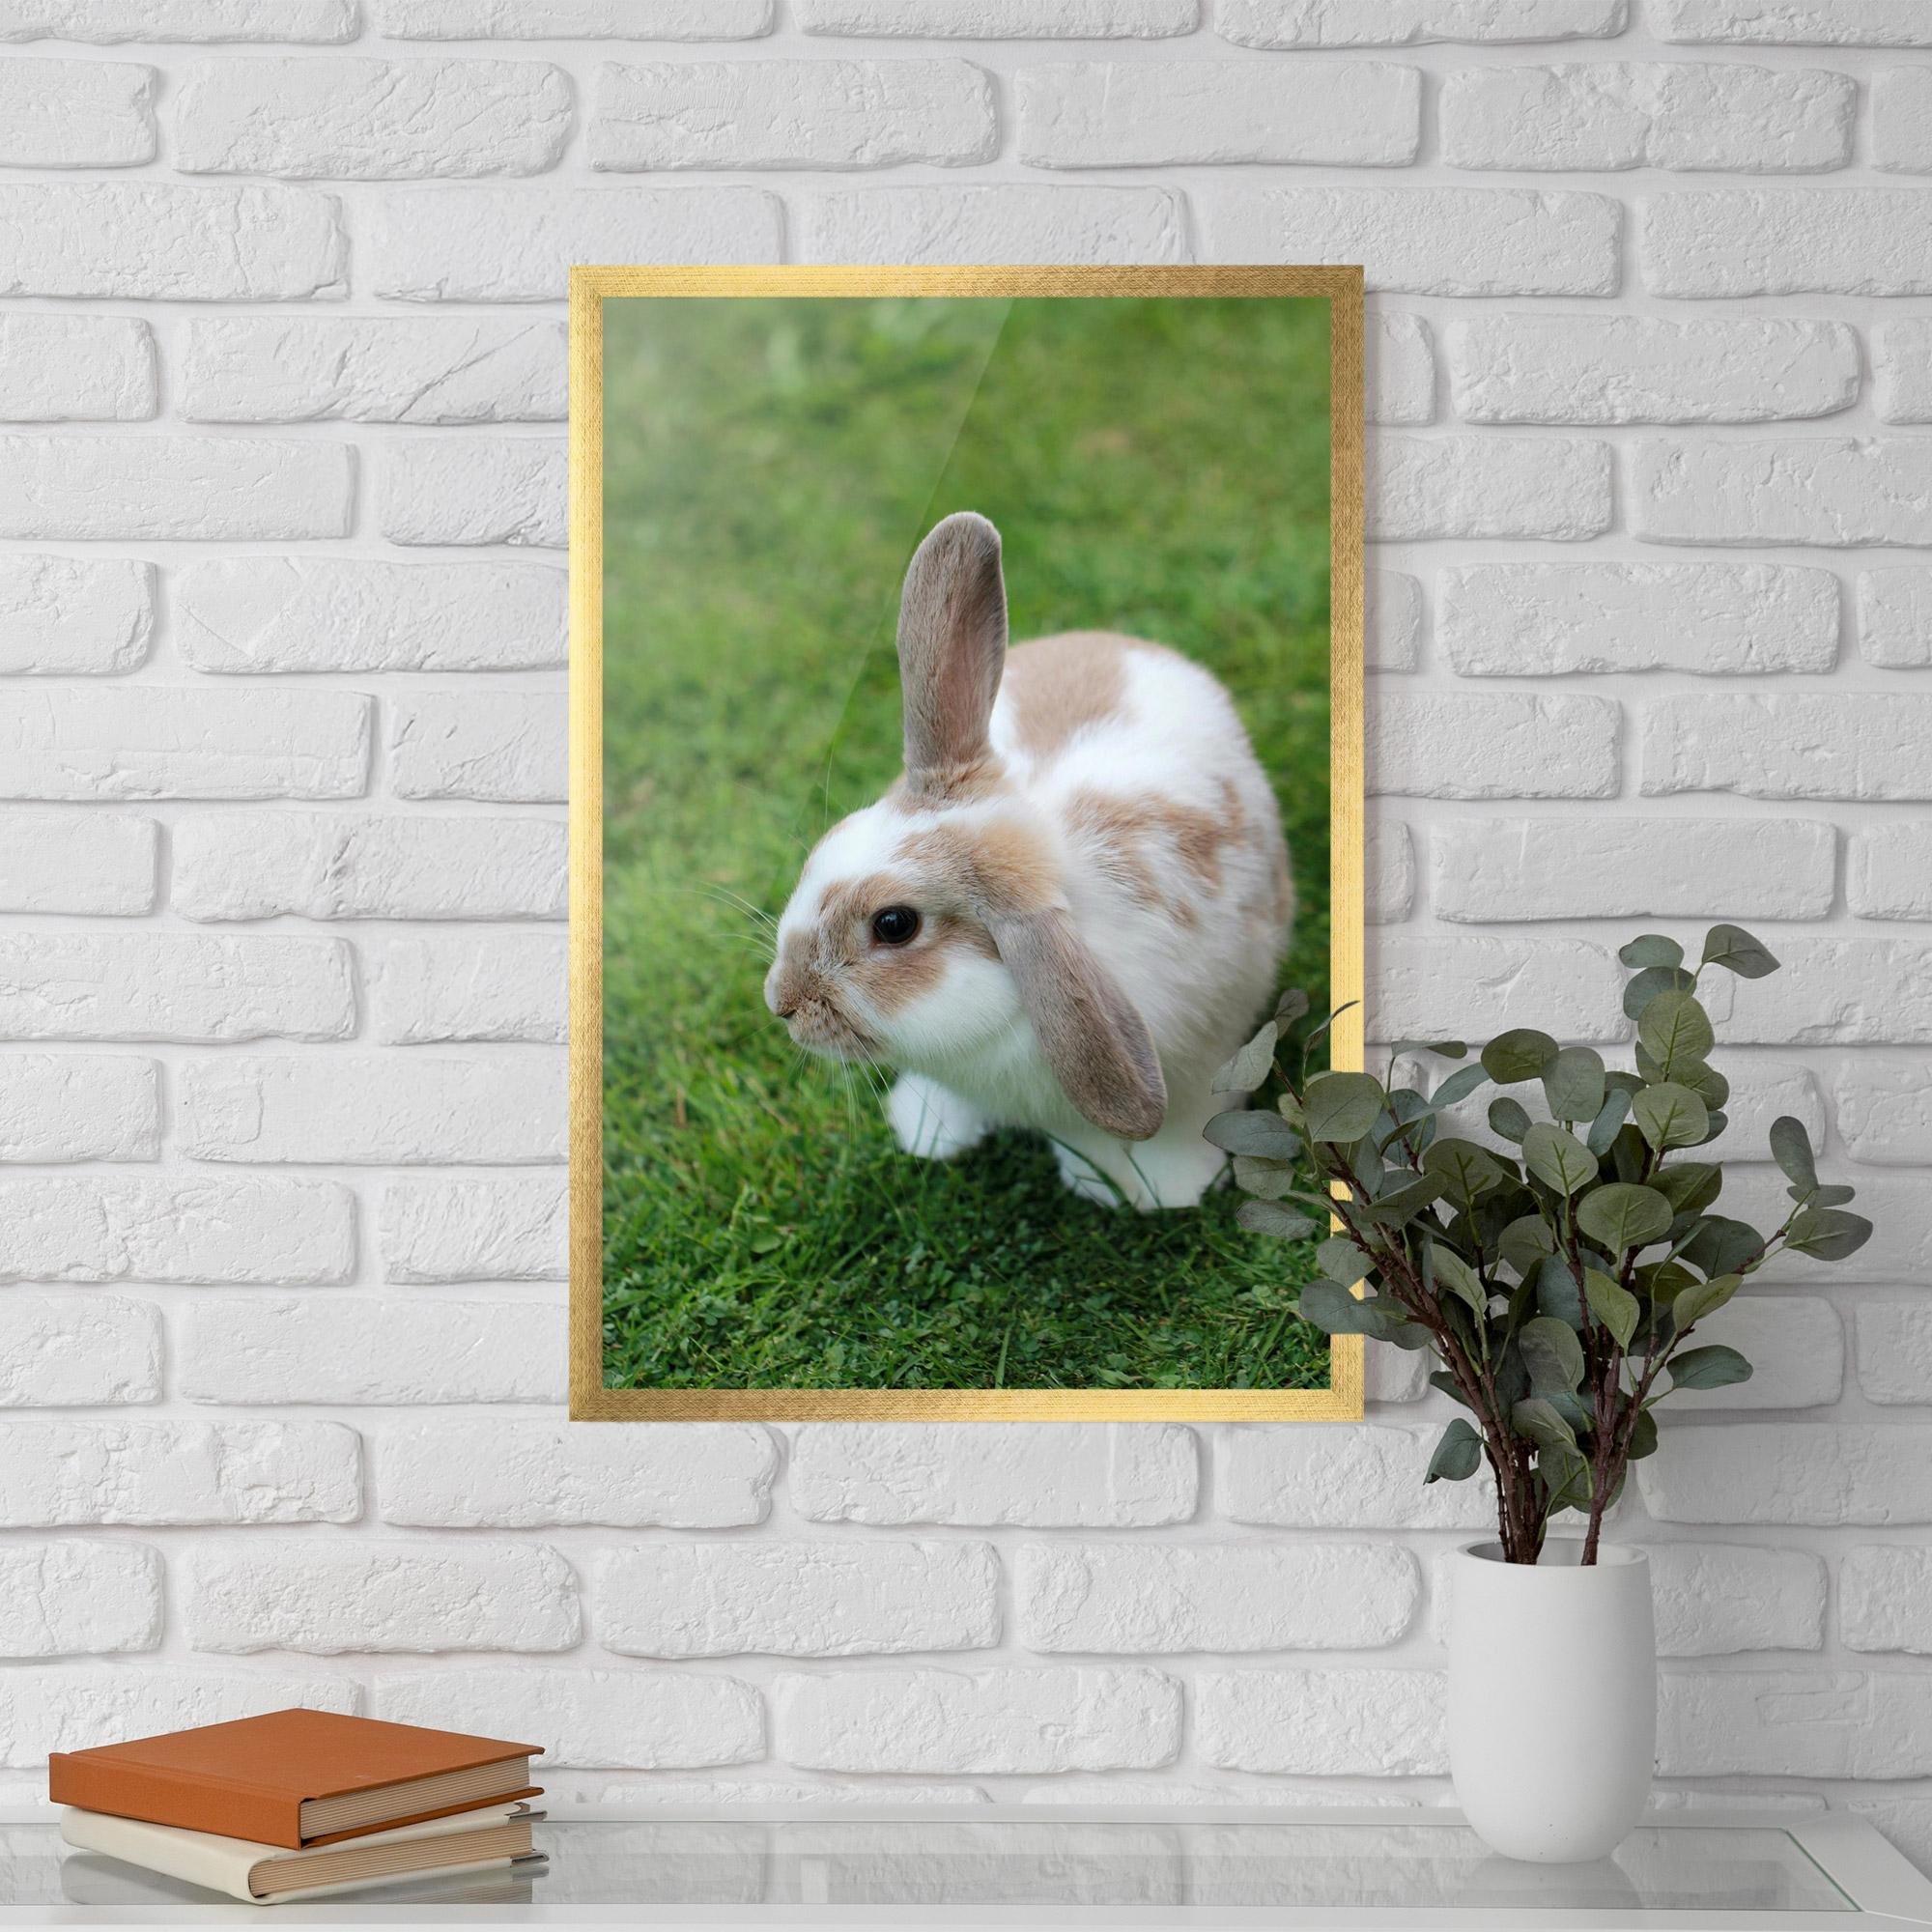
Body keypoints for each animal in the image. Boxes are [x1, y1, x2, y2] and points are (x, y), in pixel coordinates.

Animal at [764, 511, 1293, 1211]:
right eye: (831, 842)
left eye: (894, 925)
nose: (782, 1003)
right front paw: (928, 1131)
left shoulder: (1205, 1059)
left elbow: (1178, 1127)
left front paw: (1167, 1188)